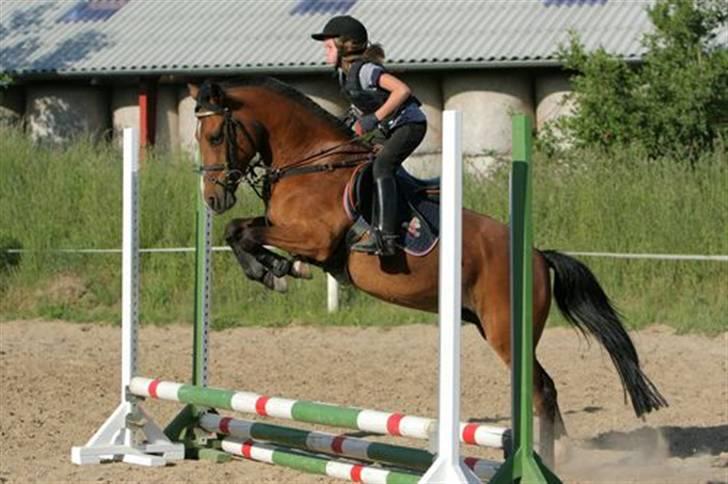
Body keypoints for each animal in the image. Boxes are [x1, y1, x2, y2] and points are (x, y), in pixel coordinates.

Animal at [186, 77, 664, 464]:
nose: (211, 198)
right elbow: (238, 230)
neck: (311, 161)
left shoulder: (315, 239)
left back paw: (550, 459)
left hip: (507, 332)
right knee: (539, 390)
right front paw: (275, 270)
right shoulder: (288, 231)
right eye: (198, 136)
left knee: (542, 390)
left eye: (216, 134)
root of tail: (539, 257)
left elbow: (245, 232)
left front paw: (278, 270)